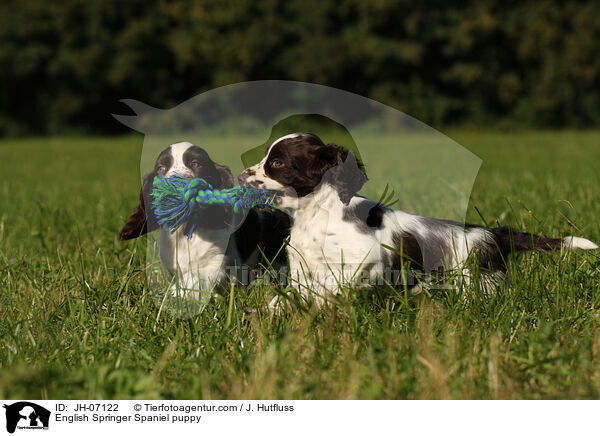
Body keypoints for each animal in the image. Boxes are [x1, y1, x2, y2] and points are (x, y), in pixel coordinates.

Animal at [238, 133, 596, 306]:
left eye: (277, 163)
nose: (241, 175)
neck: (317, 213)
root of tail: (493, 235)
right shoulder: (301, 267)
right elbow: (292, 294)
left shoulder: (366, 261)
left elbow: (326, 285)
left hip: (478, 285)